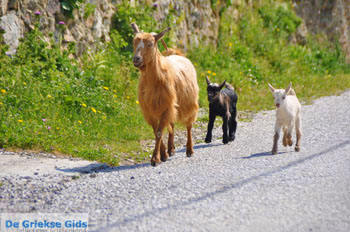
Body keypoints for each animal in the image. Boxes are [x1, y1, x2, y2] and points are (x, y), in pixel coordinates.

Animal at [131, 22, 198, 166]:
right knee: (171, 124)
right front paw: (163, 155)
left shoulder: (165, 106)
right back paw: (171, 149)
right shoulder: (151, 109)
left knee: (189, 125)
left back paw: (189, 150)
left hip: (189, 102)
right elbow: (156, 131)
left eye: (151, 44)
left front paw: (155, 159)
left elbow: (158, 133)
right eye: (134, 42)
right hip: (172, 105)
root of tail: (177, 55)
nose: (136, 59)